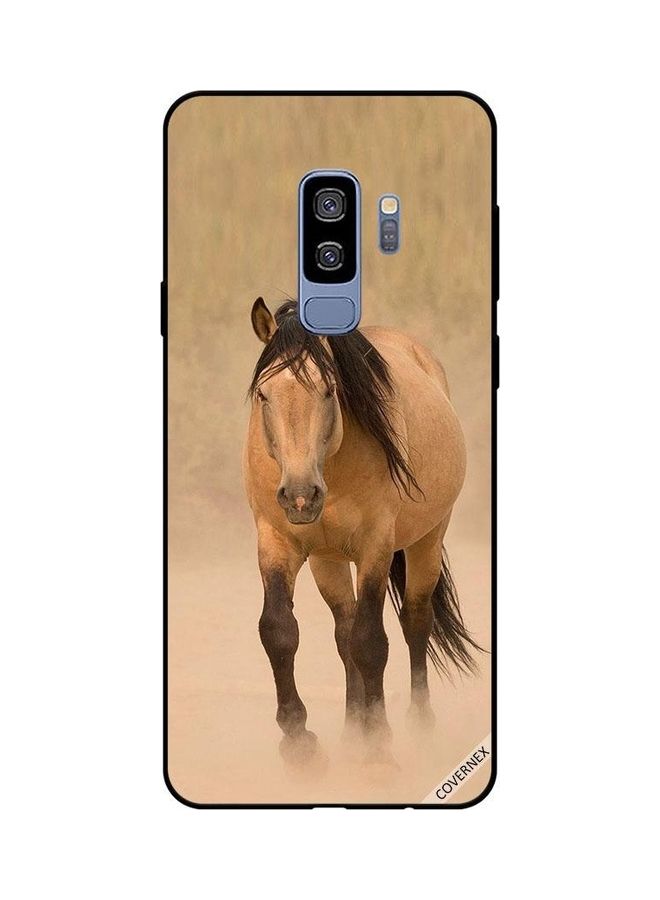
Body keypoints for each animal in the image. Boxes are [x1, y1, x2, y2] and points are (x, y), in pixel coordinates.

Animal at [243, 297, 480, 767]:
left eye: (329, 390)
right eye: (263, 393)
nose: (300, 496)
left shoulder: (376, 548)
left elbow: (372, 642)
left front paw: (379, 742)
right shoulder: (277, 543)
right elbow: (279, 631)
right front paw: (298, 740)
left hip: (427, 540)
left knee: (414, 622)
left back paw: (418, 726)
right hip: (327, 560)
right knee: (343, 631)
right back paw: (352, 730)